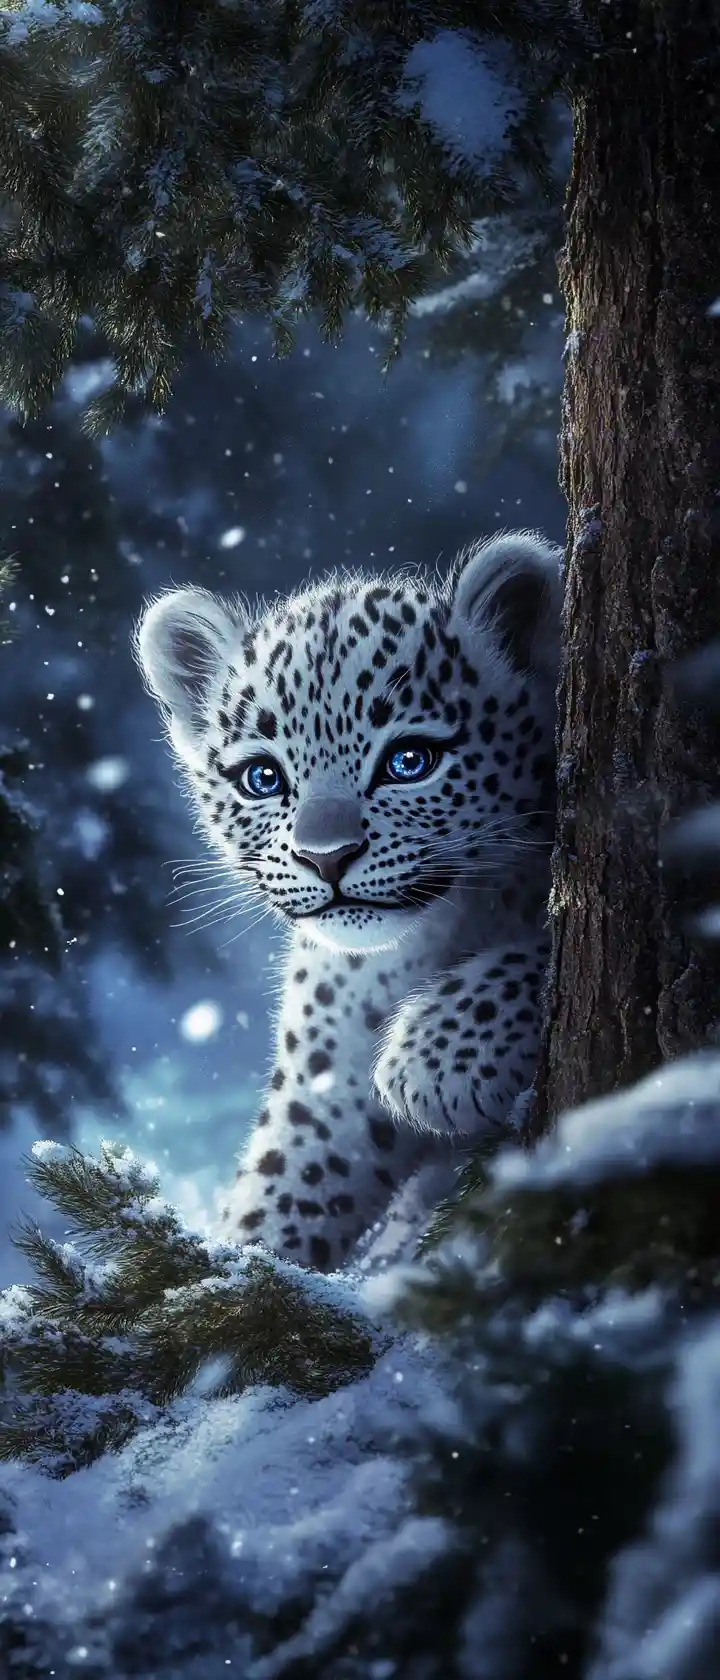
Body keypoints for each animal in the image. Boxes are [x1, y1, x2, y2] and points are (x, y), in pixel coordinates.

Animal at [134, 528, 563, 1272]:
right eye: (262, 777)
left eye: (409, 761)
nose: (326, 857)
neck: (438, 932)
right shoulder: (326, 1084)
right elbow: (279, 1189)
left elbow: (543, 946)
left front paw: (439, 1057)